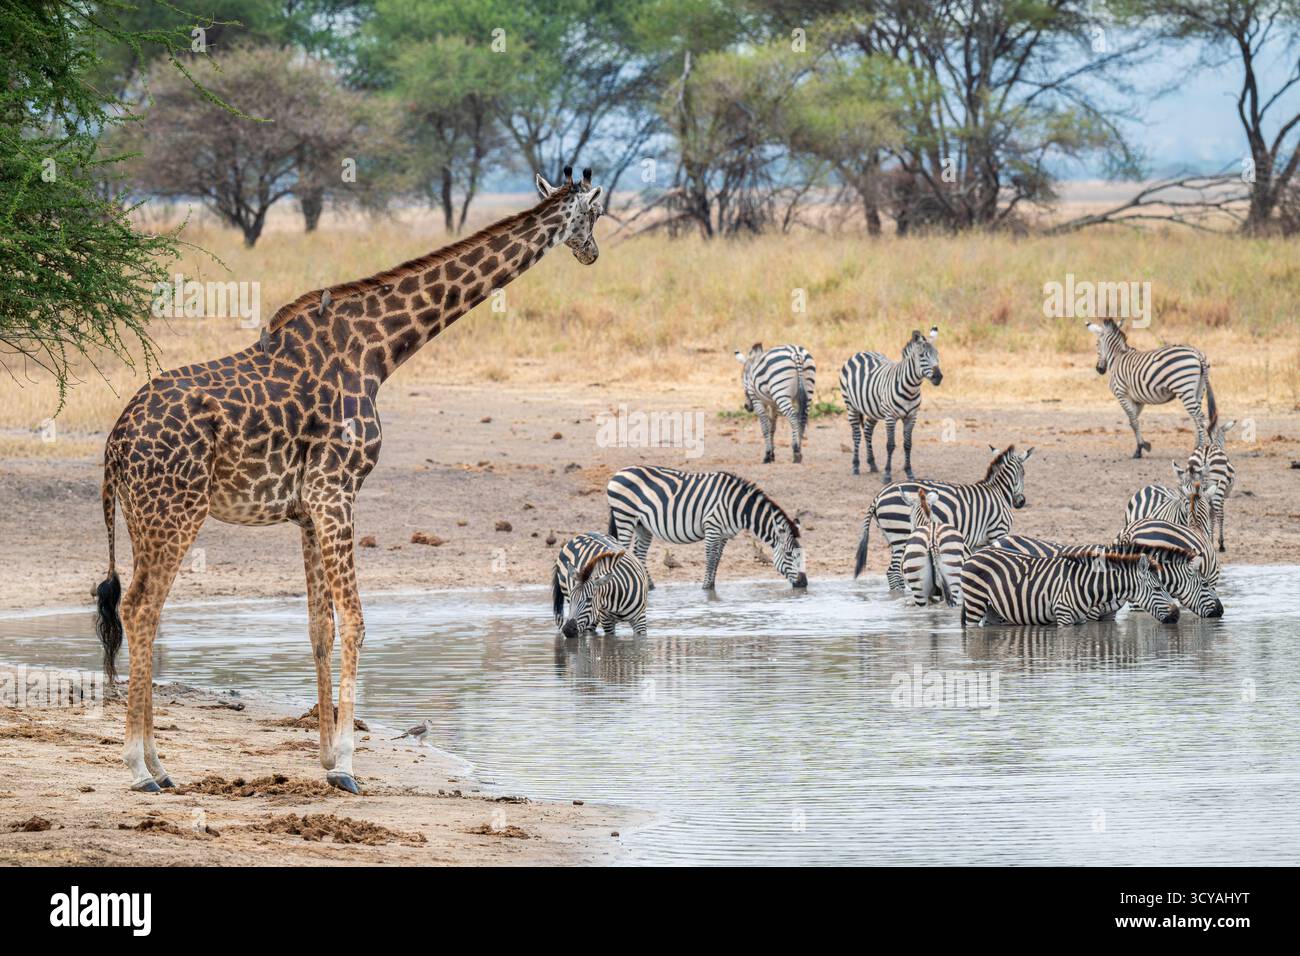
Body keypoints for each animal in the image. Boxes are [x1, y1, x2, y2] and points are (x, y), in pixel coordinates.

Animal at [93, 167, 604, 794]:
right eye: (594, 215)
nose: (592, 252)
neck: (377, 353)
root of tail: (115, 443)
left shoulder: (308, 509)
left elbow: (321, 627)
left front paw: (323, 756)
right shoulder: (337, 490)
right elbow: (357, 622)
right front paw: (347, 765)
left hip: (145, 517)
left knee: (143, 610)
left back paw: (161, 766)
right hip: (175, 512)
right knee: (141, 608)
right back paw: (140, 767)